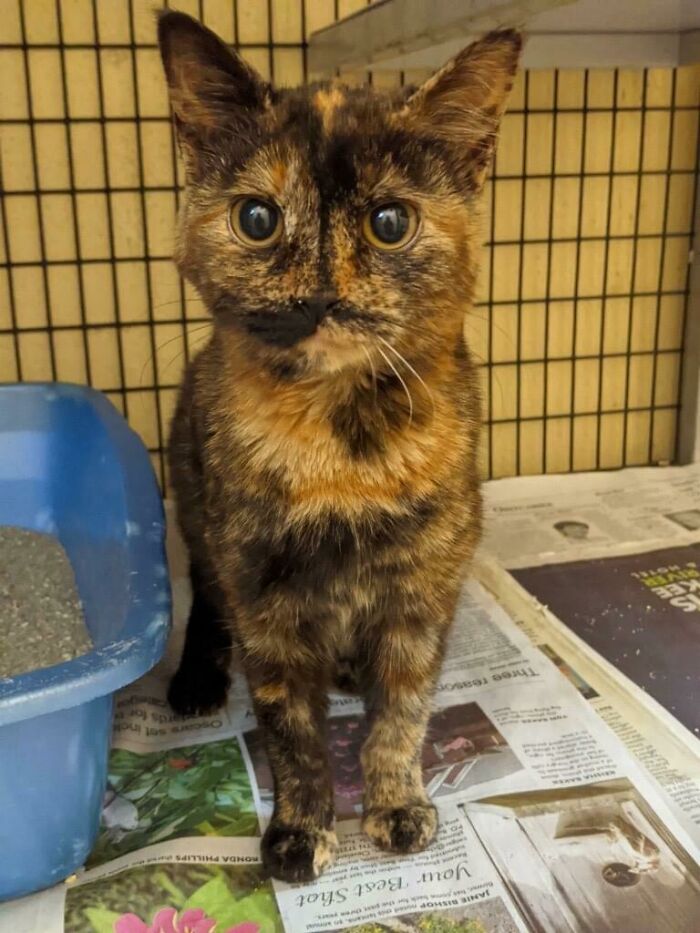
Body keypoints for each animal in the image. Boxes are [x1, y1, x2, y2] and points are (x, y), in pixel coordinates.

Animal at [159, 12, 520, 880]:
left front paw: (396, 803)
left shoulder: (424, 595)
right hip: (192, 506)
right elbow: (291, 730)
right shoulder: (266, 605)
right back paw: (196, 676)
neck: (339, 440)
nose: (319, 293)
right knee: (206, 600)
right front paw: (299, 827)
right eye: (257, 218)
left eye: (390, 222)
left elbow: (404, 713)